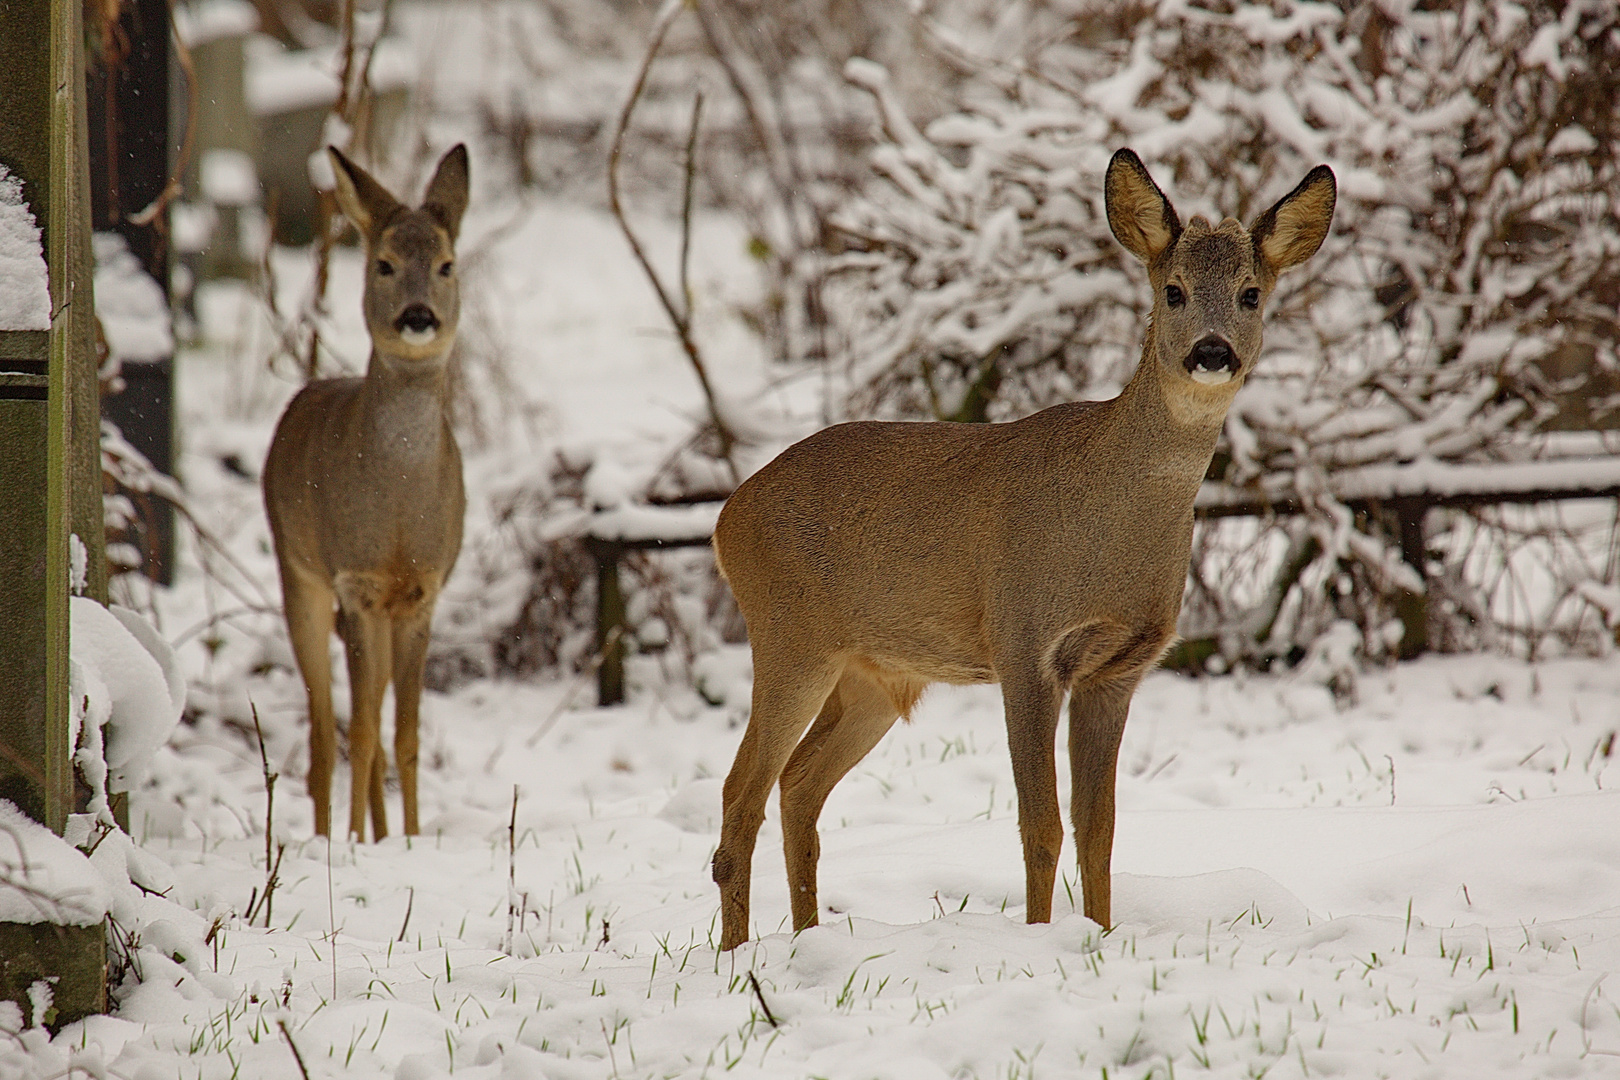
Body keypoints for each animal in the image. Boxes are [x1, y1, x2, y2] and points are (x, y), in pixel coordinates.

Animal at [262, 143, 469, 841]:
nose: (418, 316)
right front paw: (353, 844)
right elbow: (361, 733)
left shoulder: (421, 593)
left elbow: (404, 735)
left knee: (370, 721)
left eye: (446, 264)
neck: (400, 511)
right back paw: (331, 836)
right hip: (299, 573)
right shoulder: (354, 581)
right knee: (327, 734)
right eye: (383, 264)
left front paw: (409, 840)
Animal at [706, 148, 1328, 952]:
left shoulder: (1119, 669)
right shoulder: (1024, 643)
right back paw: (736, 956)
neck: (1107, 529)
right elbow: (1042, 828)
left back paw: (807, 939)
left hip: (874, 675)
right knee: (740, 792)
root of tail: (726, 519)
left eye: (1252, 294)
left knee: (798, 785)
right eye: (1174, 290)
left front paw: (1100, 933)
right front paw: (1043, 938)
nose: (1212, 352)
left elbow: (1100, 831)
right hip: (790, 639)